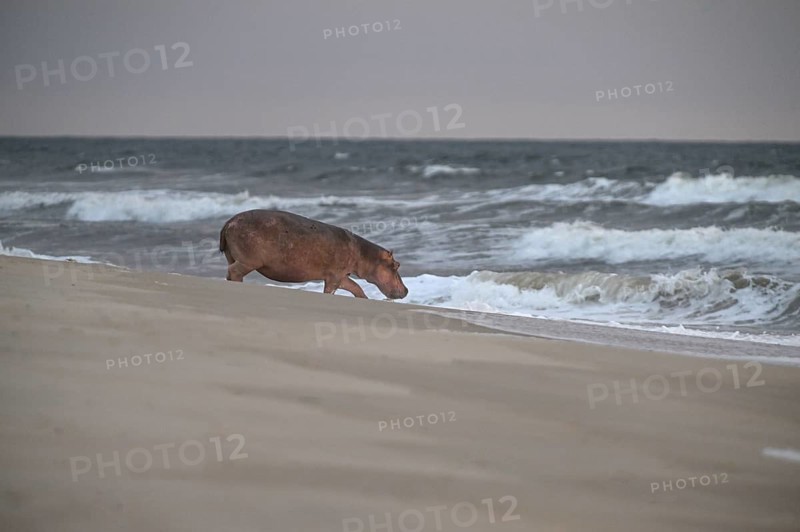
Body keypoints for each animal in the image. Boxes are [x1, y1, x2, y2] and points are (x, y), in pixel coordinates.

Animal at [219, 209, 408, 299]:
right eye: (397, 265)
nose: (406, 290)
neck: (364, 254)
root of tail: (228, 222)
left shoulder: (340, 275)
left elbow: (356, 287)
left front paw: (364, 298)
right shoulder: (334, 276)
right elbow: (332, 290)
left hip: (232, 256)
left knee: (230, 270)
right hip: (248, 260)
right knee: (234, 271)